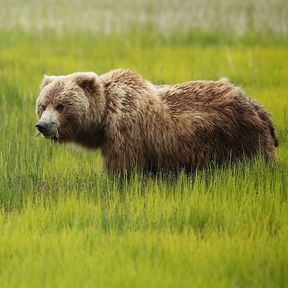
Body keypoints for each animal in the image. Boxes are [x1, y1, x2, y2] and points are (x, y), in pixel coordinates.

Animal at [35, 69, 276, 176]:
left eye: (61, 105)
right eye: (43, 105)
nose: (43, 126)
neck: (104, 117)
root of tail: (257, 106)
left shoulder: (128, 133)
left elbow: (124, 169)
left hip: (241, 136)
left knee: (259, 161)